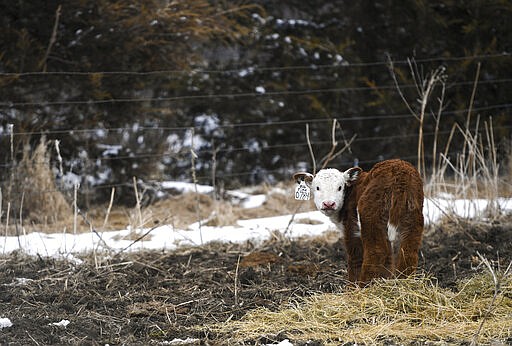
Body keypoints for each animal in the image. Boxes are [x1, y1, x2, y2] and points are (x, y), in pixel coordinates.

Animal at [292, 159, 424, 284]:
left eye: (340, 187)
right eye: (317, 188)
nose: (329, 204)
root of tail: (399, 175)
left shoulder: (351, 227)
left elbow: (355, 257)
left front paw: (352, 286)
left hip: (371, 217)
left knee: (376, 252)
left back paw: (363, 286)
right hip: (412, 217)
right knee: (408, 251)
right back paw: (404, 282)